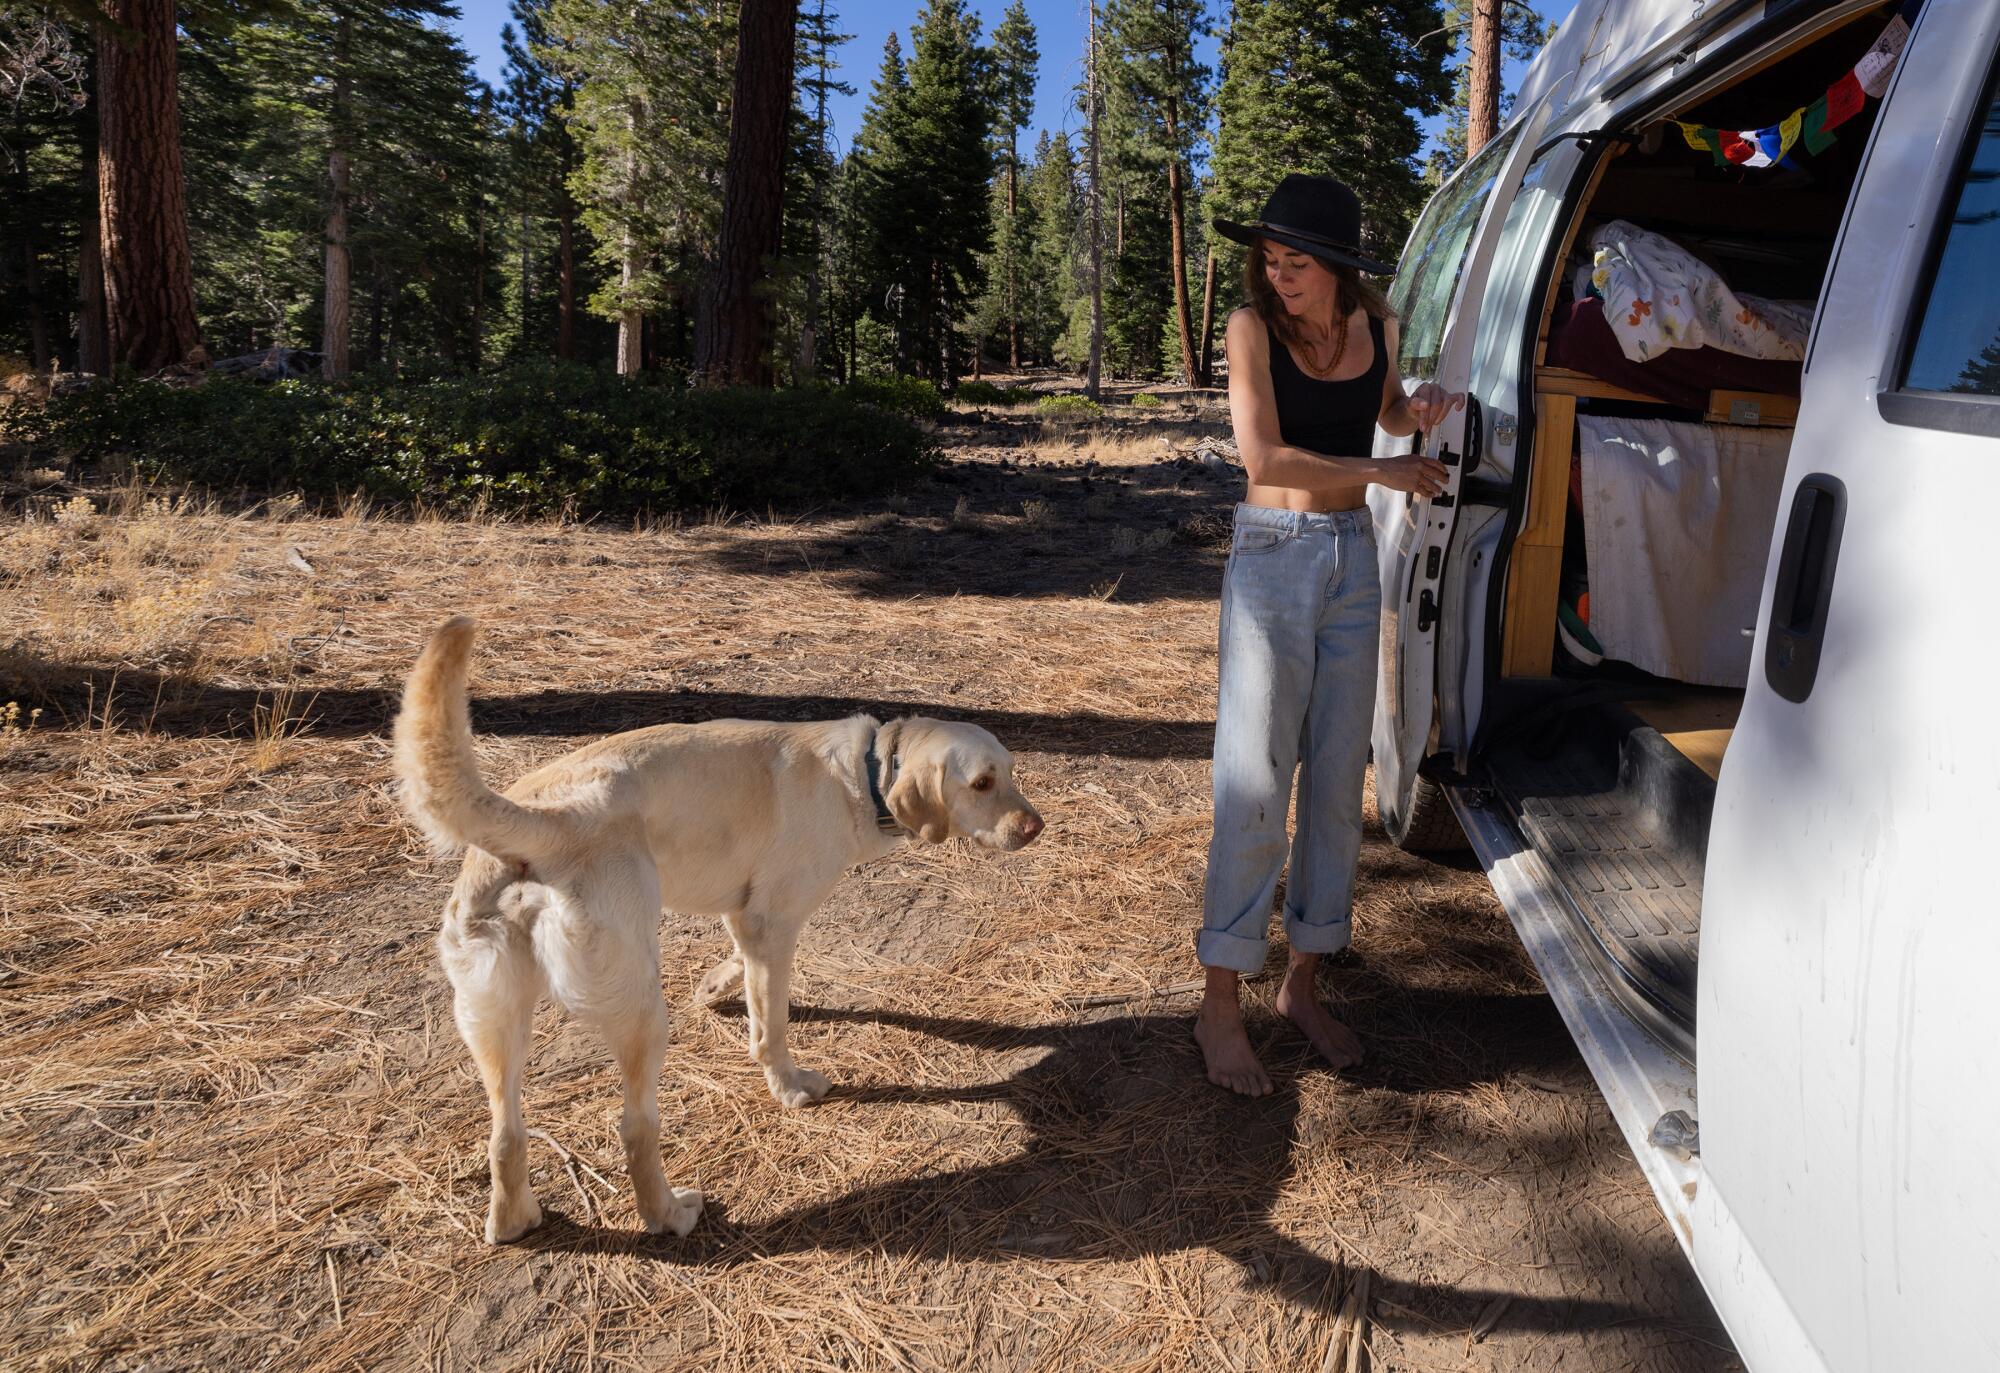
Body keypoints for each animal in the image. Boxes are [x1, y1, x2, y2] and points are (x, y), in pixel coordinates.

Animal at [392, 620, 1048, 1240]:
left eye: (1012, 772)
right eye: (982, 783)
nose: (1036, 827)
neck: (864, 774)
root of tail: (543, 821)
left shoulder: (747, 916)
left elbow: (741, 968)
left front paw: (716, 988)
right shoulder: (774, 921)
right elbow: (771, 1027)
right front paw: (788, 1086)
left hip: (495, 1020)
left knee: (505, 1137)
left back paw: (516, 1221)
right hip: (640, 1014)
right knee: (634, 1127)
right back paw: (669, 1214)